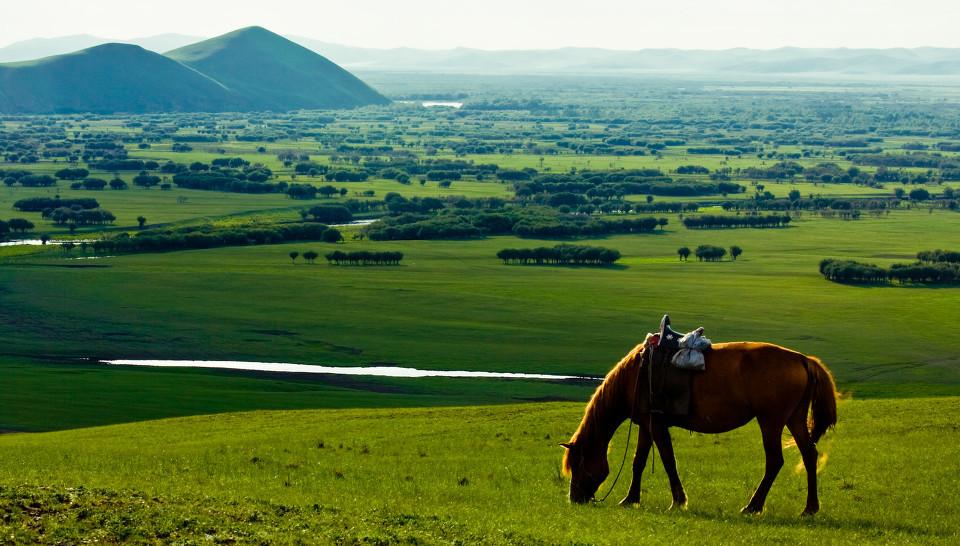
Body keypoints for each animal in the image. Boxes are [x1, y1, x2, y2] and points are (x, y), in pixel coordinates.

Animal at [560, 340, 836, 516]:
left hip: (771, 421)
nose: (575, 499)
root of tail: (802, 359)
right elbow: (638, 462)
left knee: (775, 461)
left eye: (578, 465)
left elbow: (668, 461)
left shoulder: (657, 425)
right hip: (794, 419)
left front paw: (678, 501)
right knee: (809, 455)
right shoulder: (646, 425)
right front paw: (630, 499)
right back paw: (809, 508)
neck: (636, 376)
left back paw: (753, 506)